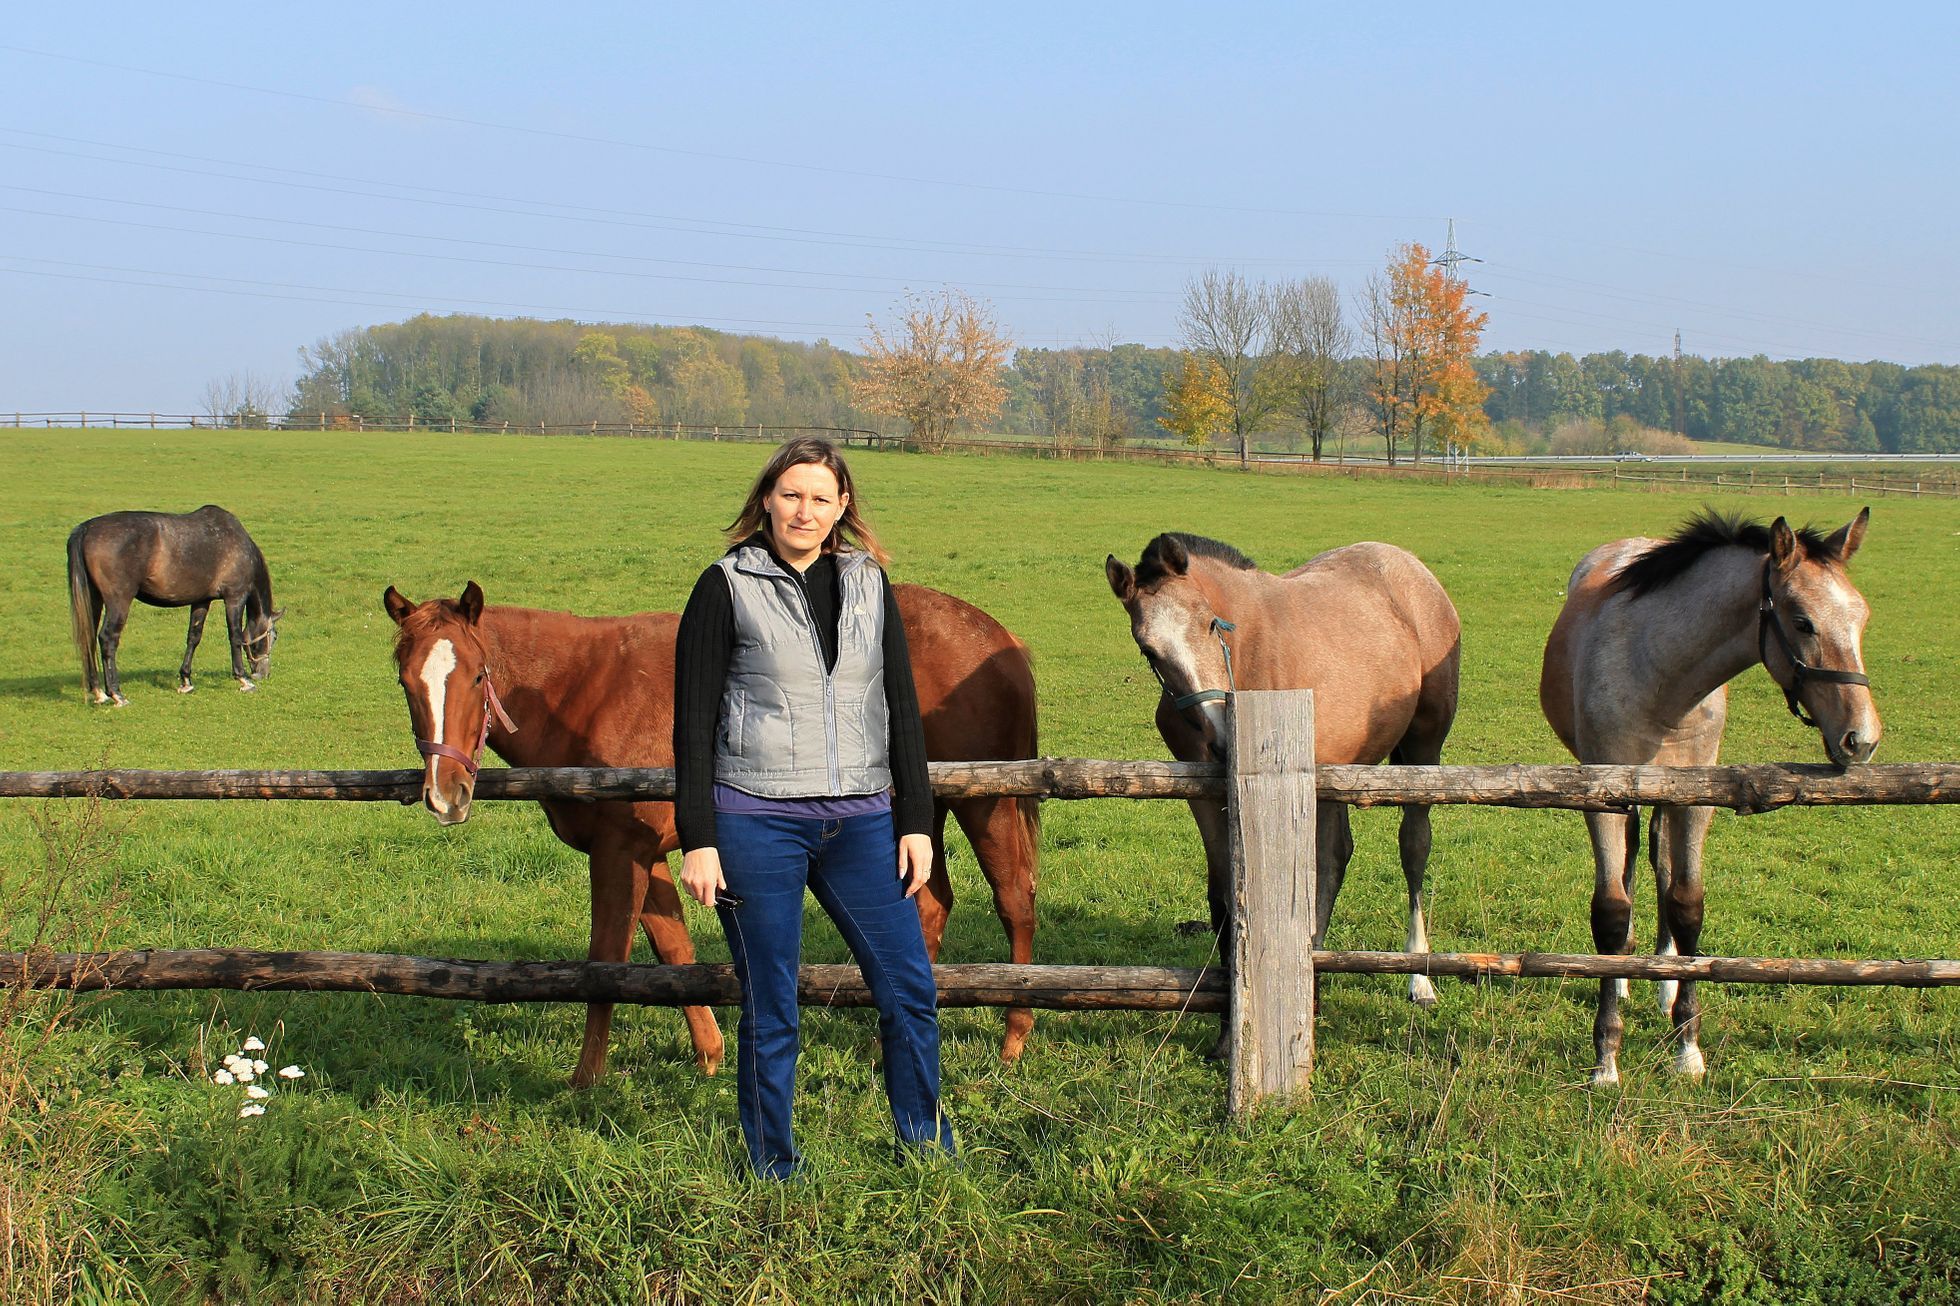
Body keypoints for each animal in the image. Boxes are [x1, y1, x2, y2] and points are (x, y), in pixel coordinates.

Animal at [388, 576, 1050, 1074]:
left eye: (477, 676)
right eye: (405, 681)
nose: (445, 795)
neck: (585, 689)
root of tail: (1001, 640)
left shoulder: (619, 852)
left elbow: (606, 961)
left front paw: (585, 1081)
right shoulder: (649, 853)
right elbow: (673, 949)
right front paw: (710, 1055)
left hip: (986, 804)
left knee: (1015, 901)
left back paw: (1014, 1035)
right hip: (920, 817)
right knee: (931, 904)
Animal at [1113, 529, 1466, 1035]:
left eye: (1210, 624)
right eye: (1148, 650)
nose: (1222, 735)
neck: (1247, 655)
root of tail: (1414, 569)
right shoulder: (1203, 793)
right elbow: (1224, 895)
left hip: (1422, 750)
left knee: (1414, 847)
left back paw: (1419, 979)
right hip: (1335, 769)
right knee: (1335, 855)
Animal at [1536, 509, 1873, 1090]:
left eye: (1863, 617)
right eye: (1803, 622)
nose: (1862, 739)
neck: (1660, 677)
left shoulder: (1696, 798)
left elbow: (1687, 904)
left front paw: (1686, 1047)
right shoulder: (1602, 796)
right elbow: (1610, 912)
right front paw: (1607, 1056)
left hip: (1666, 801)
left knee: (1660, 868)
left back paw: (1662, 979)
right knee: (1631, 868)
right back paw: (1625, 976)